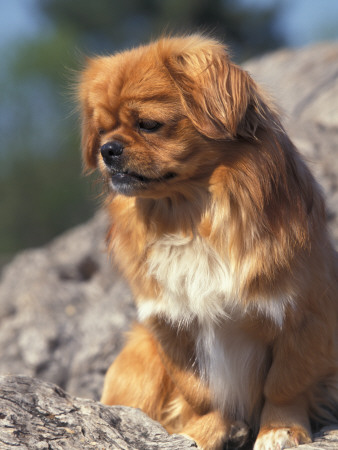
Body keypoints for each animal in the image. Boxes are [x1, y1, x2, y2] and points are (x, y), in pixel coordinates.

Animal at [78, 36, 338, 450]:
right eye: (102, 131)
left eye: (149, 125)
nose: (109, 149)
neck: (192, 217)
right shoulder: (171, 327)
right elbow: (200, 392)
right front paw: (204, 431)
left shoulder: (306, 315)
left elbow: (285, 383)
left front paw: (280, 429)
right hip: (139, 356)